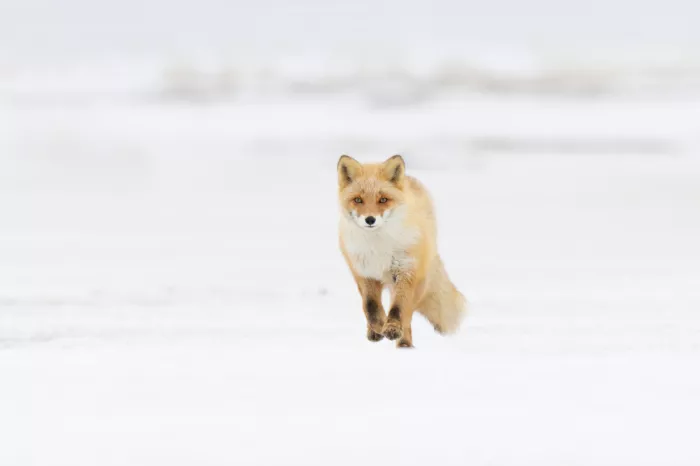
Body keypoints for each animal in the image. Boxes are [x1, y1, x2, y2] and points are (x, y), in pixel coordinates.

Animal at [337, 154, 466, 348]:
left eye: (383, 199)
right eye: (358, 200)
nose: (370, 219)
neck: (378, 246)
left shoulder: (405, 271)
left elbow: (398, 309)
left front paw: (391, 328)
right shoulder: (364, 273)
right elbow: (370, 306)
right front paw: (377, 327)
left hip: (418, 282)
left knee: (408, 314)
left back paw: (404, 345)